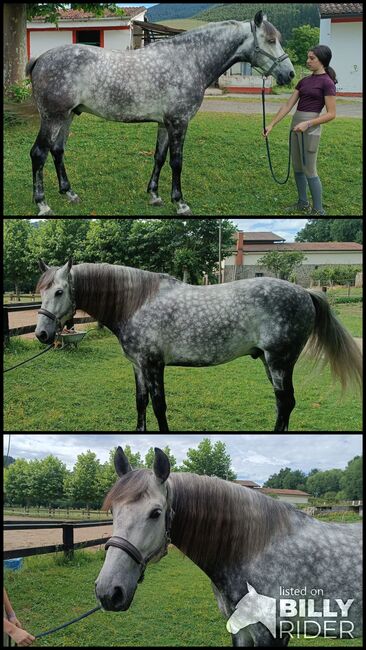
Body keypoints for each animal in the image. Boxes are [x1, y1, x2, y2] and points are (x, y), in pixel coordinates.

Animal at [25, 9, 294, 215]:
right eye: (270, 40)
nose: (289, 74)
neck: (189, 61)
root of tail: (40, 59)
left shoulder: (165, 123)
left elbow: (159, 157)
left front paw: (154, 195)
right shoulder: (179, 122)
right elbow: (176, 162)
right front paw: (180, 202)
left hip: (68, 115)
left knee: (57, 151)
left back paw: (69, 193)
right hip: (53, 117)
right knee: (39, 153)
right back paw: (42, 204)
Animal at [35, 258, 362, 430]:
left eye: (60, 291)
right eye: (42, 291)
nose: (41, 334)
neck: (137, 303)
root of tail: (306, 293)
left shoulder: (154, 365)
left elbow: (159, 406)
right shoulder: (138, 366)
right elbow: (141, 402)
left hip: (279, 361)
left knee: (285, 402)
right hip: (271, 362)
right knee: (286, 403)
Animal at [96, 448, 362, 644]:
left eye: (156, 513)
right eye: (113, 511)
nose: (108, 592)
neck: (254, 550)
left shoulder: (272, 633)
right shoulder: (240, 629)